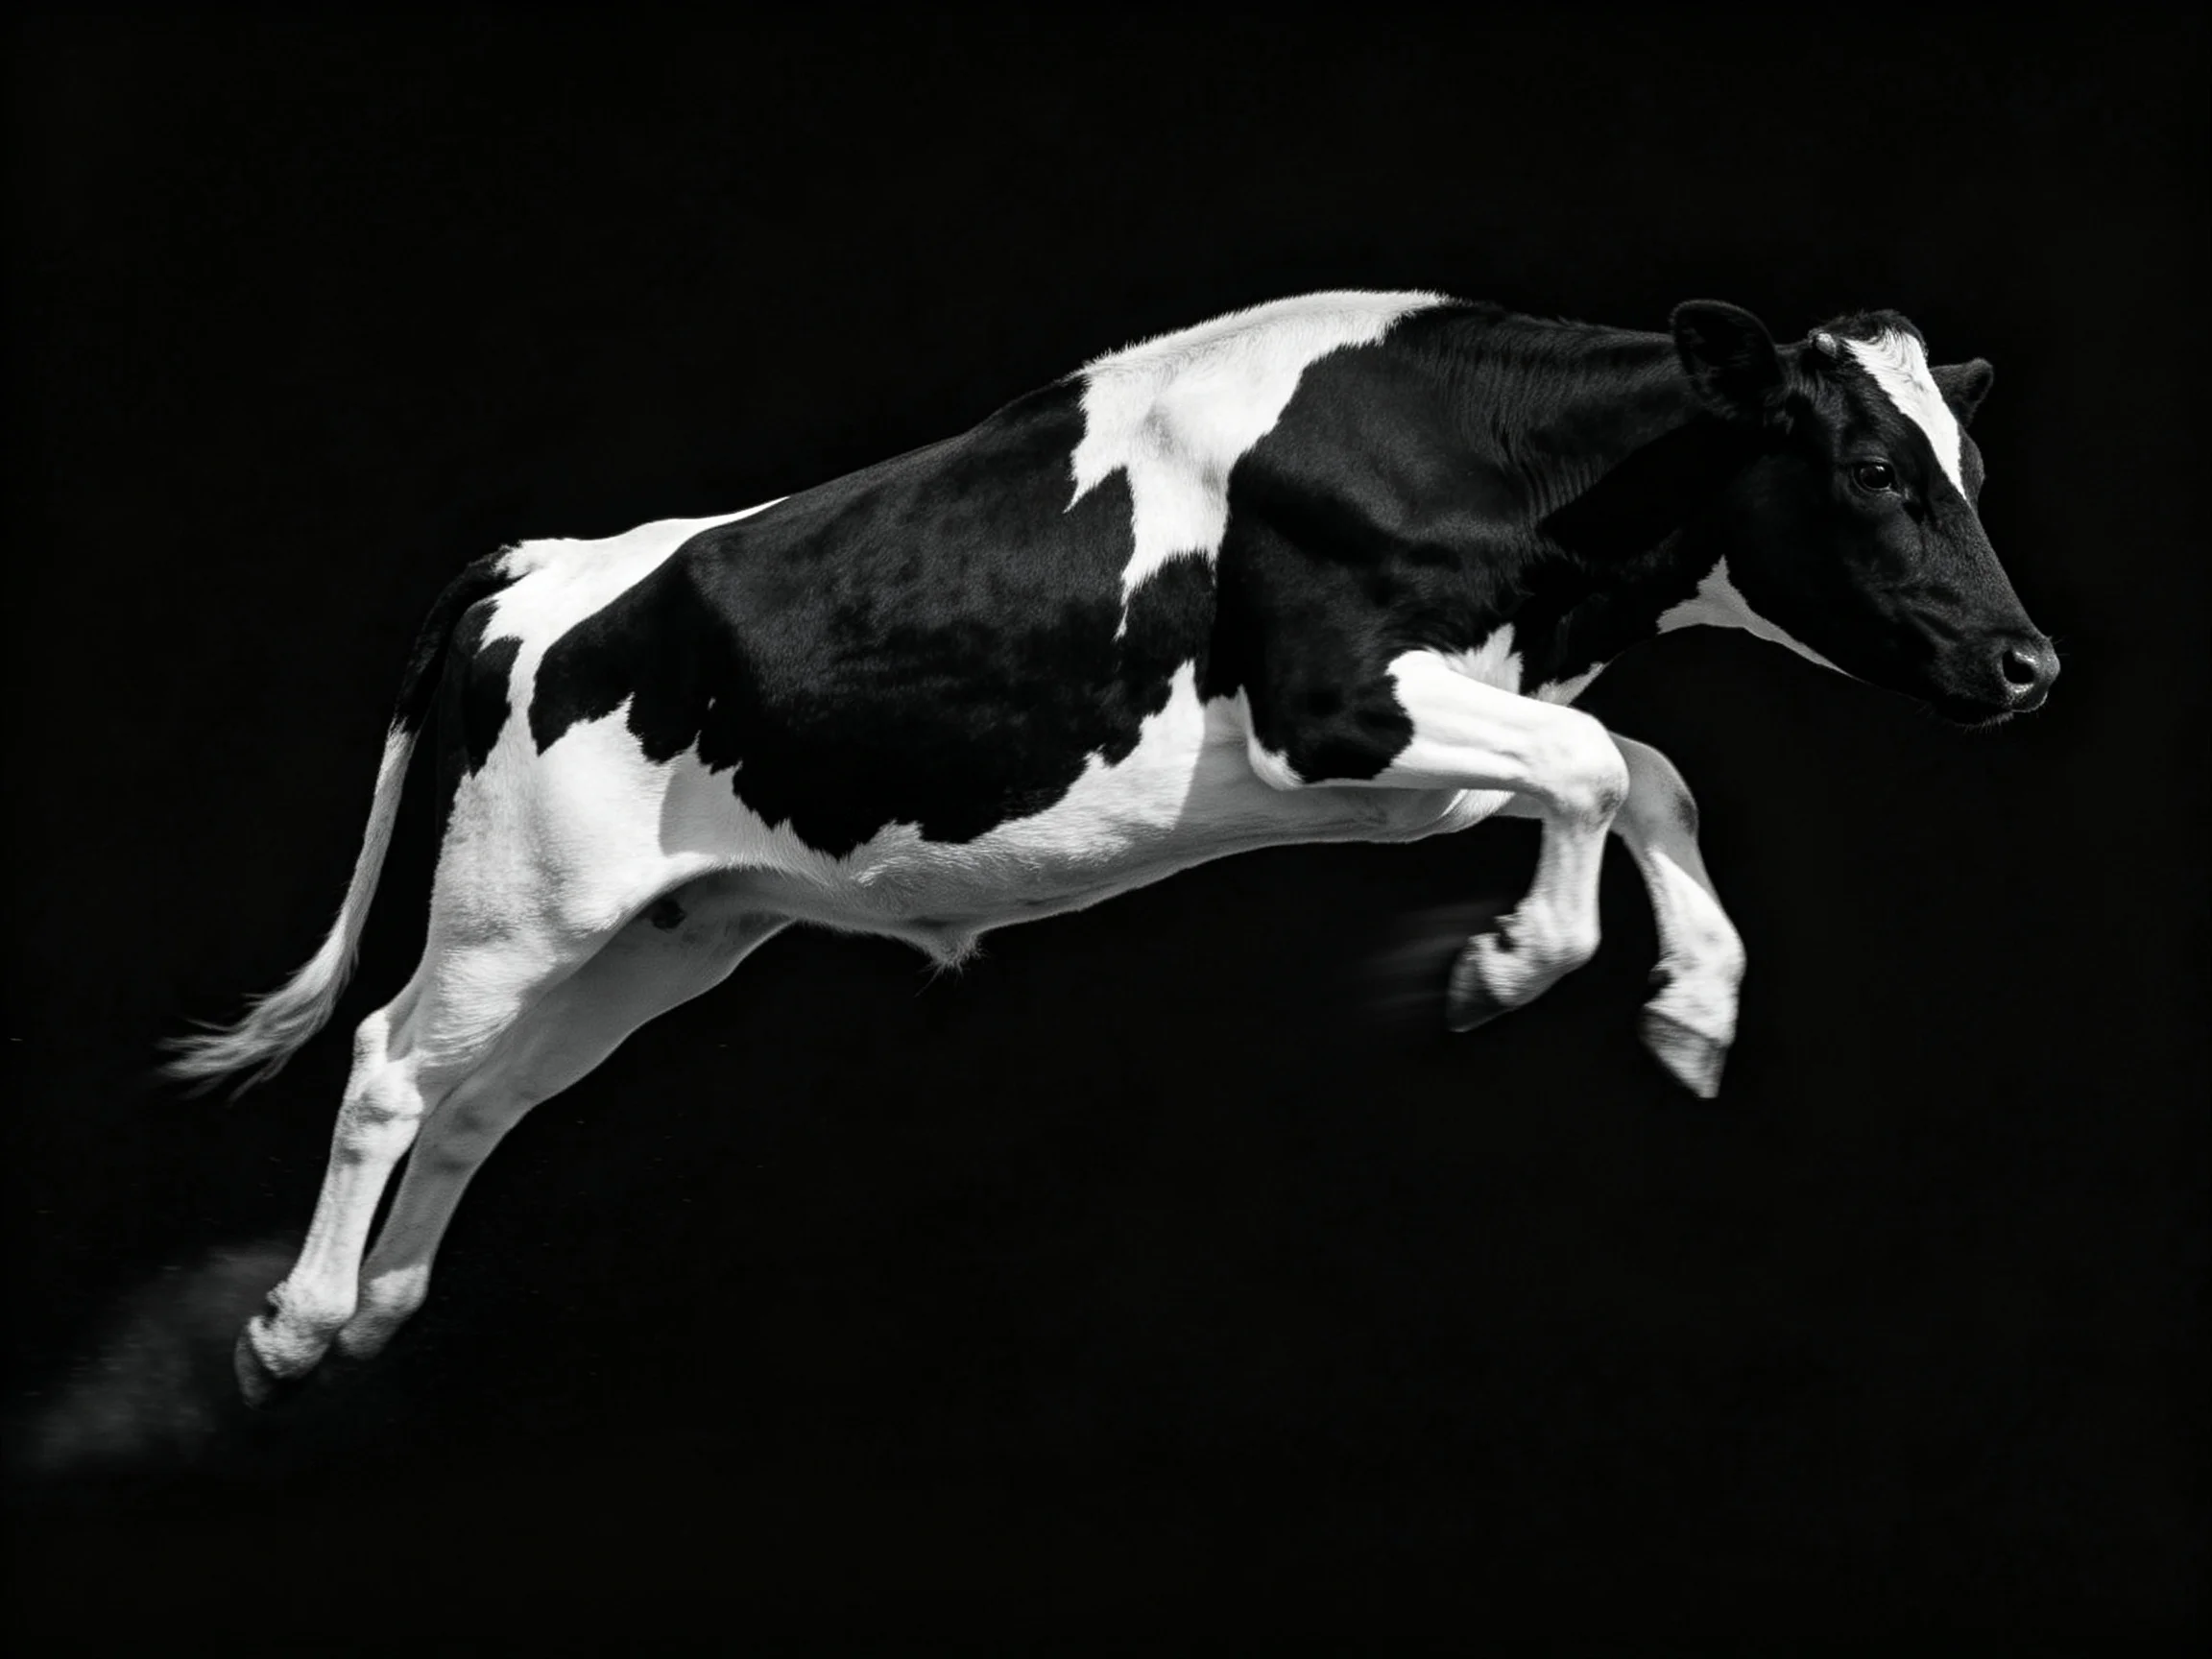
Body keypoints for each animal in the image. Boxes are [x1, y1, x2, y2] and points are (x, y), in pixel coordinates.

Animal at [166, 290, 2057, 1404]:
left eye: (1963, 463)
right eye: (1874, 469)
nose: (2029, 663)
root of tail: (550, 560)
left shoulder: (1417, 747)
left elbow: (1642, 771)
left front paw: (1693, 1005)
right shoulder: (1330, 707)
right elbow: (1606, 763)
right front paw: (1513, 960)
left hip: (670, 931)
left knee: (485, 1100)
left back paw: (383, 1309)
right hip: (517, 905)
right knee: (391, 1065)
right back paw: (292, 1323)